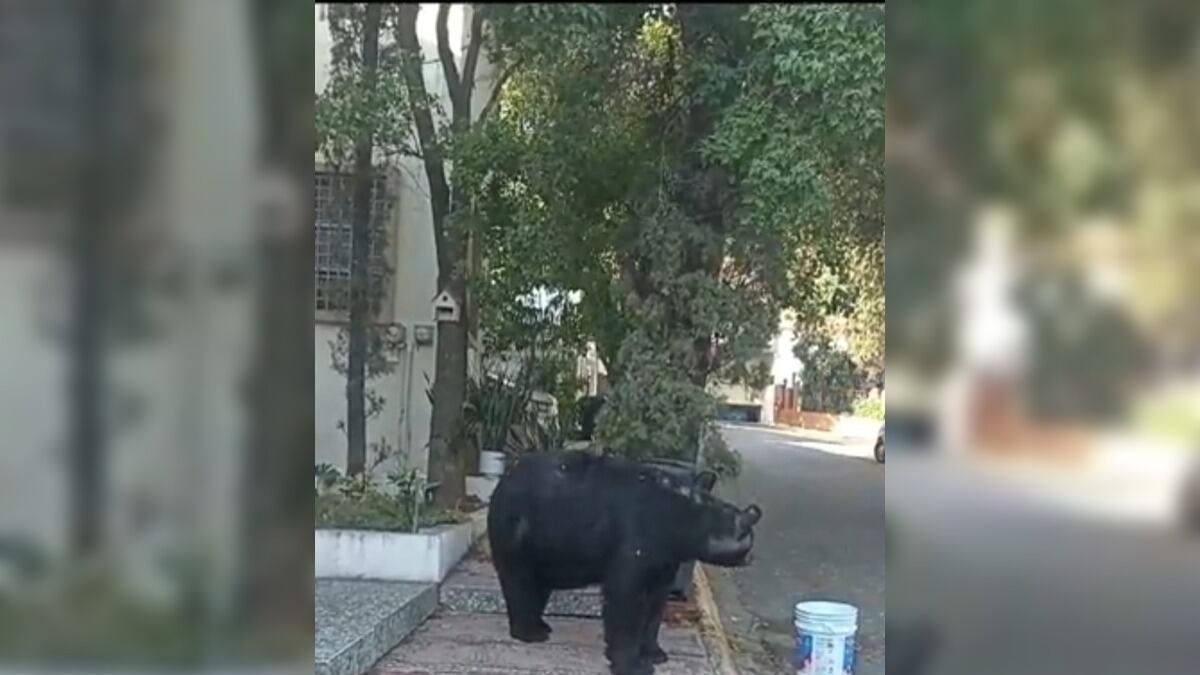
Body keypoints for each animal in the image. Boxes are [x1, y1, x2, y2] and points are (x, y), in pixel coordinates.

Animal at [487, 451, 762, 675]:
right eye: (749, 543)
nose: (751, 558)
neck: (680, 518)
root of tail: (505, 478)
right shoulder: (637, 538)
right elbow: (625, 599)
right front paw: (633, 664)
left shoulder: (665, 558)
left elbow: (656, 603)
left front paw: (655, 652)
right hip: (517, 532)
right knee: (520, 581)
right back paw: (529, 631)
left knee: (538, 585)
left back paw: (540, 624)